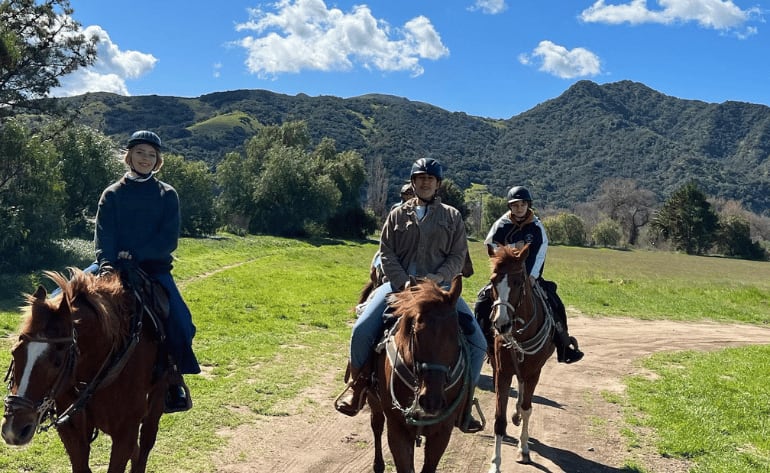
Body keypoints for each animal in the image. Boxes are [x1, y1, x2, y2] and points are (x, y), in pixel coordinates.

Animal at [1, 270, 170, 472]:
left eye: (57, 362)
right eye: (15, 352)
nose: (13, 430)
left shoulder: (125, 434)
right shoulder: (72, 433)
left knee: (145, 443)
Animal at [366, 274, 468, 472]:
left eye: (456, 335)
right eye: (417, 333)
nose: (431, 401)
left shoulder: (443, 431)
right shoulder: (398, 429)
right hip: (373, 399)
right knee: (377, 424)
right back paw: (378, 465)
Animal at [486, 245, 552, 470]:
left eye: (517, 282)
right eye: (493, 281)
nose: (501, 324)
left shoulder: (534, 373)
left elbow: (527, 409)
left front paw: (523, 450)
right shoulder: (502, 372)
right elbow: (499, 417)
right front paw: (495, 464)